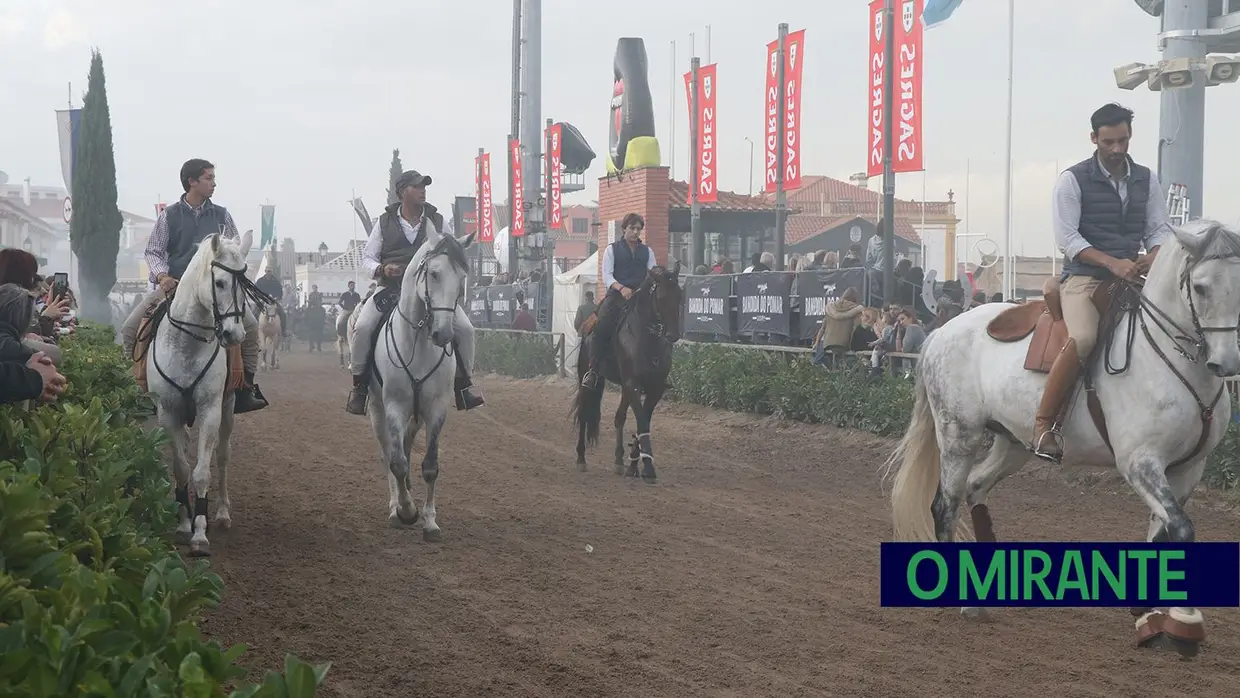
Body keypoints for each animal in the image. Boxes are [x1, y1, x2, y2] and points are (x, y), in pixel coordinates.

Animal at [143, 229, 254, 557]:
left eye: (245, 284)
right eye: (219, 283)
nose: (234, 334)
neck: (186, 345)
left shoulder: (210, 409)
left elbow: (202, 471)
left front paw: (200, 534)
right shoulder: (168, 412)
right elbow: (181, 468)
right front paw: (183, 524)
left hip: (228, 410)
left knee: (222, 457)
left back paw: (223, 514)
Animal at [362, 229, 476, 540]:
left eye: (462, 277)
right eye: (434, 274)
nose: (443, 333)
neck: (419, 345)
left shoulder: (436, 409)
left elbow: (430, 466)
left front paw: (430, 522)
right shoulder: (394, 406)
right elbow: (397, 462)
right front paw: (406, 511)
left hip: (416, 416)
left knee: (407, 443)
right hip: (377, 410)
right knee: (387, 453)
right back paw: (395, 506)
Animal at [572, 259, 684, 483]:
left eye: (679, 295)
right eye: (661, 297)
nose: (673, 335)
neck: (647, 340)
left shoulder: (654, 388)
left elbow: (643, 422)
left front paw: (634, 463)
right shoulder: (633, 385)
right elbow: (641, 421)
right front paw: (648, 467)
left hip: (624, 388)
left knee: (619, 418)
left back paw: (618, 460)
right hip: (587, 378)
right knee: (584, 412)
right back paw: (581, 458)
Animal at [887, 220, 1235, 659]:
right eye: (1201, 287)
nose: (1227, 363)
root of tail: (943, 330)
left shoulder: (1188, 469)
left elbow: (1164, 533)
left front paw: (1150, 616)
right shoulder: (1140, 463)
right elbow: (1182, 531)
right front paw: (1185, 623)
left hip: (1014, 444)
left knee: (976, 486)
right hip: (958, 436)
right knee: (944, 505)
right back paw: (962, 598)